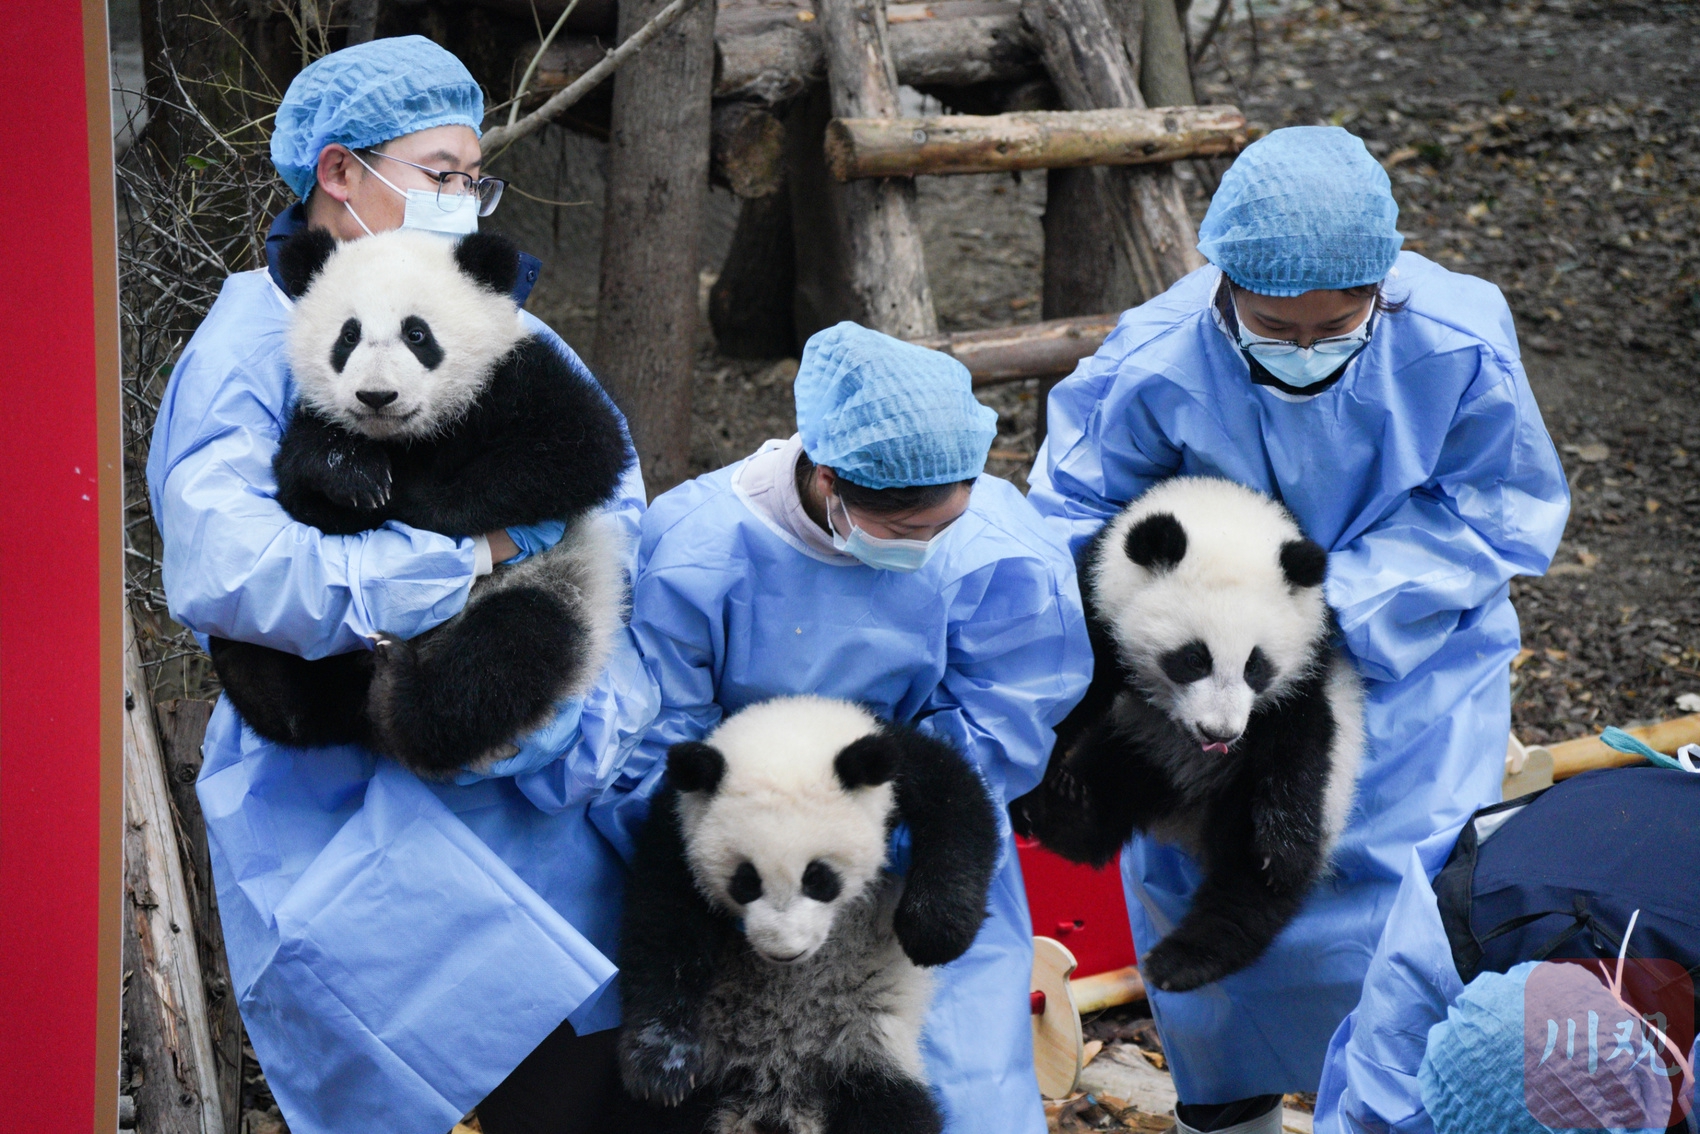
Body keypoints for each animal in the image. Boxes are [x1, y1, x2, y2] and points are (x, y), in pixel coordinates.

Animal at [206, 227, 631, 776]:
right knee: (282, 668)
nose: (376, 396)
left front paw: (417, 507)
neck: (408, 436)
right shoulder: (314, 421)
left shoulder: (517, 378)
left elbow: (580, 448)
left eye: (417, 335)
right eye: (348, 336)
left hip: (554, 585)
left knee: (506, 654)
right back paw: (263, 681)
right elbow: (308, 494)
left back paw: (401, 698)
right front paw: (359, 480)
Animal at [617, 695, 1001, 1134]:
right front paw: (662, 1066)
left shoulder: (904, 765)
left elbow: (961, 813)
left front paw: (932, 934)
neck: (792, 725)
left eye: (819, 878)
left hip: (866, 1058)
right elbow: (663, 931)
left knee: (894, 1112)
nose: (785, 952)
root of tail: (778, 1098)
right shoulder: (677, 829)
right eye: (745, 882)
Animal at [1013, 477, 1364, 994]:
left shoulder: (1309, 675)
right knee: (1102, 807)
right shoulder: (1097, 615)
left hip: (1257, 797)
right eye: (1194, 658)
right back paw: (1067, 803)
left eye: (1255, 666)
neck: (1226, 512)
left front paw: (1281, 852)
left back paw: (1183, 959)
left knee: (1244, 891)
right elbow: (1062, 698)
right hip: (1135, 746)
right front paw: (1023, 789)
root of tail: (1185, 811)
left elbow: (1300, 750)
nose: (1219, 732)